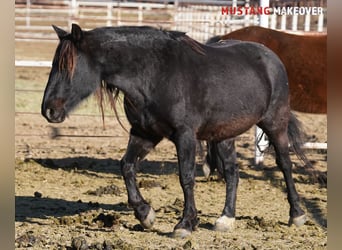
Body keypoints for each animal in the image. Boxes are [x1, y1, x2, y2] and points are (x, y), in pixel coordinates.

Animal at [41, 23, 308, 238]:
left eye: (68, 66)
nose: (49, 110)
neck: (154, 74)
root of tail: (271, 58)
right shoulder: (144, 133)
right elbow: (126, 166)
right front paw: (145, 214)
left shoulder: (184, 136)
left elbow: (186, 177)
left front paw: (185, 224)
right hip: (224, 135)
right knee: (232, 173)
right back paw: (225, 219)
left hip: (275, 124)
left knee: (285, 164)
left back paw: (296, 214)